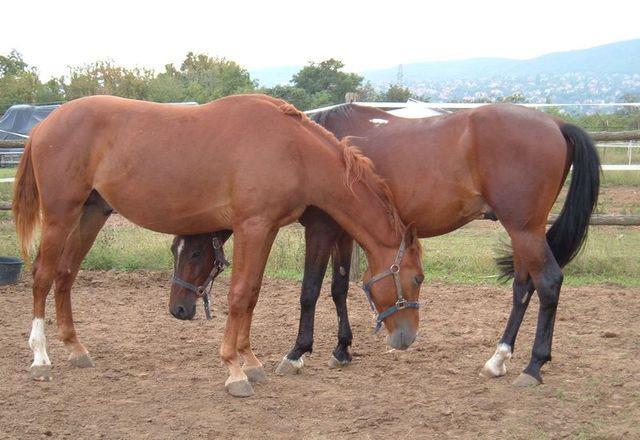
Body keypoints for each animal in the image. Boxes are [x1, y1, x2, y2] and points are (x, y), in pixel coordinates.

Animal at [11, 94, 424, 398]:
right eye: (417, 278)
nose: (406, 338)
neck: (291, 148)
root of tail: (44, 125)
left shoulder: (266, 229)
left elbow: (252, 293)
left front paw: (251, 362)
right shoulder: (251, 226)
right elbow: (239, 295)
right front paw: (234, 370)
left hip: (91, 213)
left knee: (65, 274)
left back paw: (75, 350)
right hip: (60, 215)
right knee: (42, 276)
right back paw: (41, 359)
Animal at [179, 103, 600, 388]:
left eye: (194, 252)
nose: (180, 310)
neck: (306, 149)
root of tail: (557, 123)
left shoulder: (321, 229)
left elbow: (310, 290)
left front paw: (297, 353)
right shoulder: (344, 230)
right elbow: (338, 287)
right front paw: (341, 349)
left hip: (525, 229)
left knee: (548, 283)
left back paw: (533, 366)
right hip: (524, 230)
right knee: (524, 286)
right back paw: (498, 359)